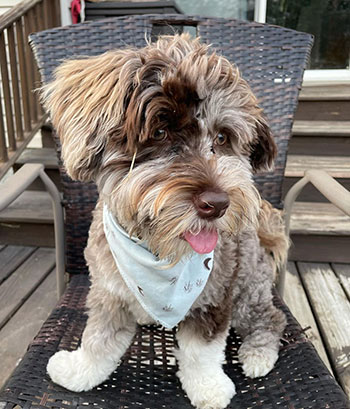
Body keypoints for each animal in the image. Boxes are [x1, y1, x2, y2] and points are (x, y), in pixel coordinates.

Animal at [41, 34, 288, 408]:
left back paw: (258, 354)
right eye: (159, 132)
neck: (157, 254)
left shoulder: (215, 297)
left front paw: (209, 388)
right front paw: (80, 371)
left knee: (272, 318)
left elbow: (201, 351)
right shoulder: (107, 293)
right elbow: (99, 338)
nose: (217, 204)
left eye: (222, 137)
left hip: (248, 290)